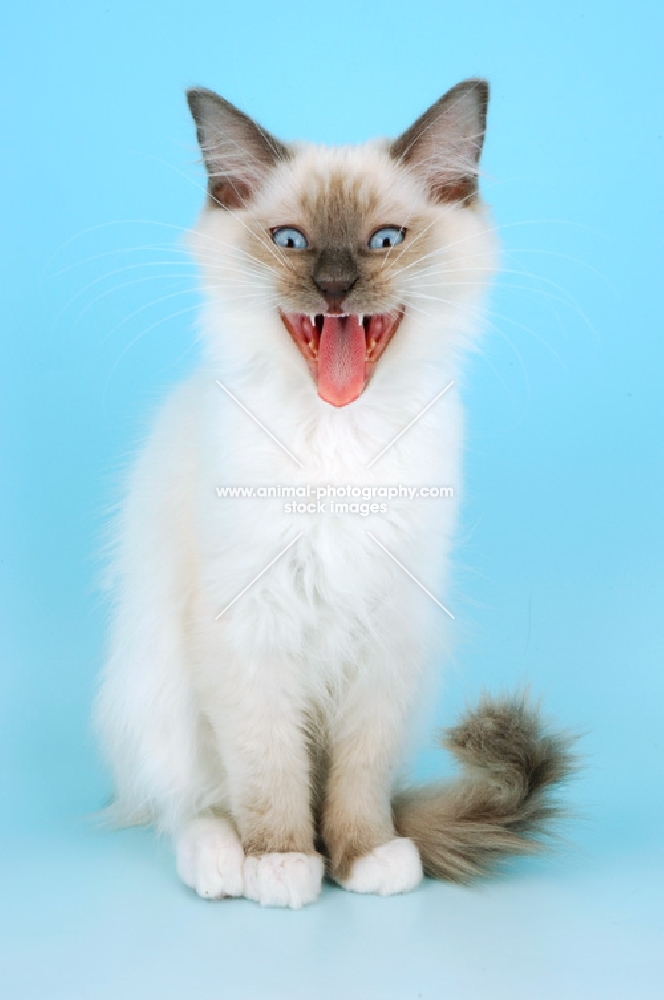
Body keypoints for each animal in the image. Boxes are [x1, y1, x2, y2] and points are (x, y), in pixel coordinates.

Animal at [94, 78, 576, 908]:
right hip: (154, 686)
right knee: (190, 802)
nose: (335, 286)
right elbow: (270, 776)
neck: (338, 435)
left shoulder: (386, 634)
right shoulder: (247, 631)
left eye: (384, 241)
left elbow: (356, 781)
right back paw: (221, 864)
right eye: (291, 242)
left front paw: (364, 858)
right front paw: (284, 864)